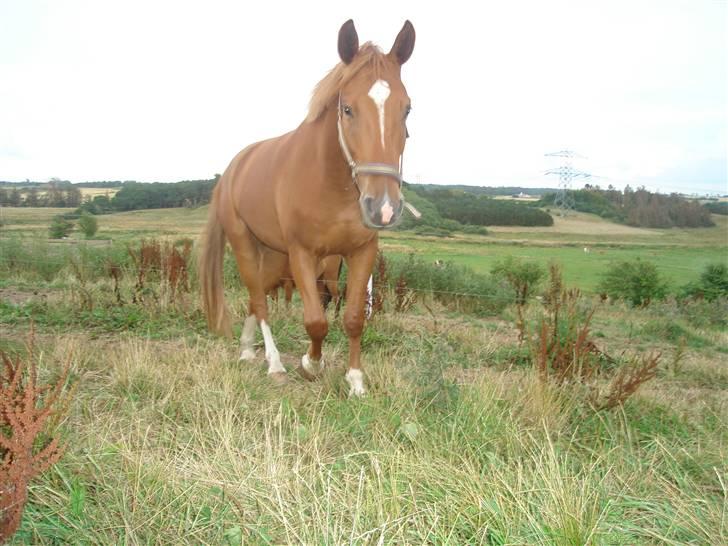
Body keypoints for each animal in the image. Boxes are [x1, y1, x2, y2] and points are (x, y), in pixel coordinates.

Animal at [199, 20, 416, 396]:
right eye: (347, 109)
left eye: (407, 108)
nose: (383, 208)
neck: (332, 186)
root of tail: (233, 168)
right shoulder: (303, 253)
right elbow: (315, 321)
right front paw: (311, 363)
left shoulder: (361, 251)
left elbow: (354, 317)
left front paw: (355, 381)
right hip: (245, 244)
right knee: (259, 299)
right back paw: (272, 363)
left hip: (273, 253)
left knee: (258, 297)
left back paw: (246, 349)